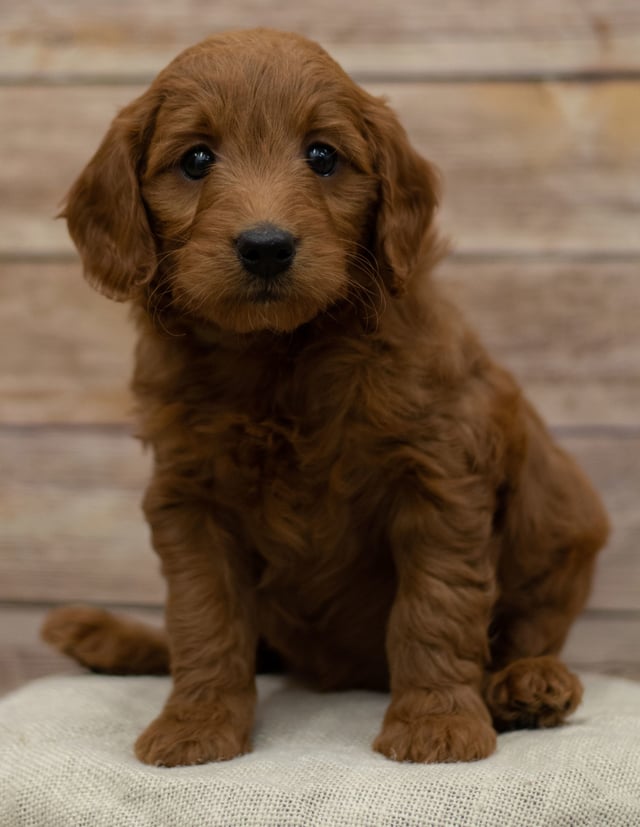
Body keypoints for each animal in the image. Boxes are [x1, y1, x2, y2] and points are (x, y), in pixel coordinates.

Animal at [42, 29, 608, 768]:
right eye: (195, 159)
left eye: (322, 155)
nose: (266, 246)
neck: (279, 353)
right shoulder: (189, 497)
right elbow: (204, 617)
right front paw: (196, 725)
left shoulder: (441, 475)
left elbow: (436, 605)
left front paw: (436, 723)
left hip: (562, 517)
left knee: (533, 624)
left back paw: (528, 685)